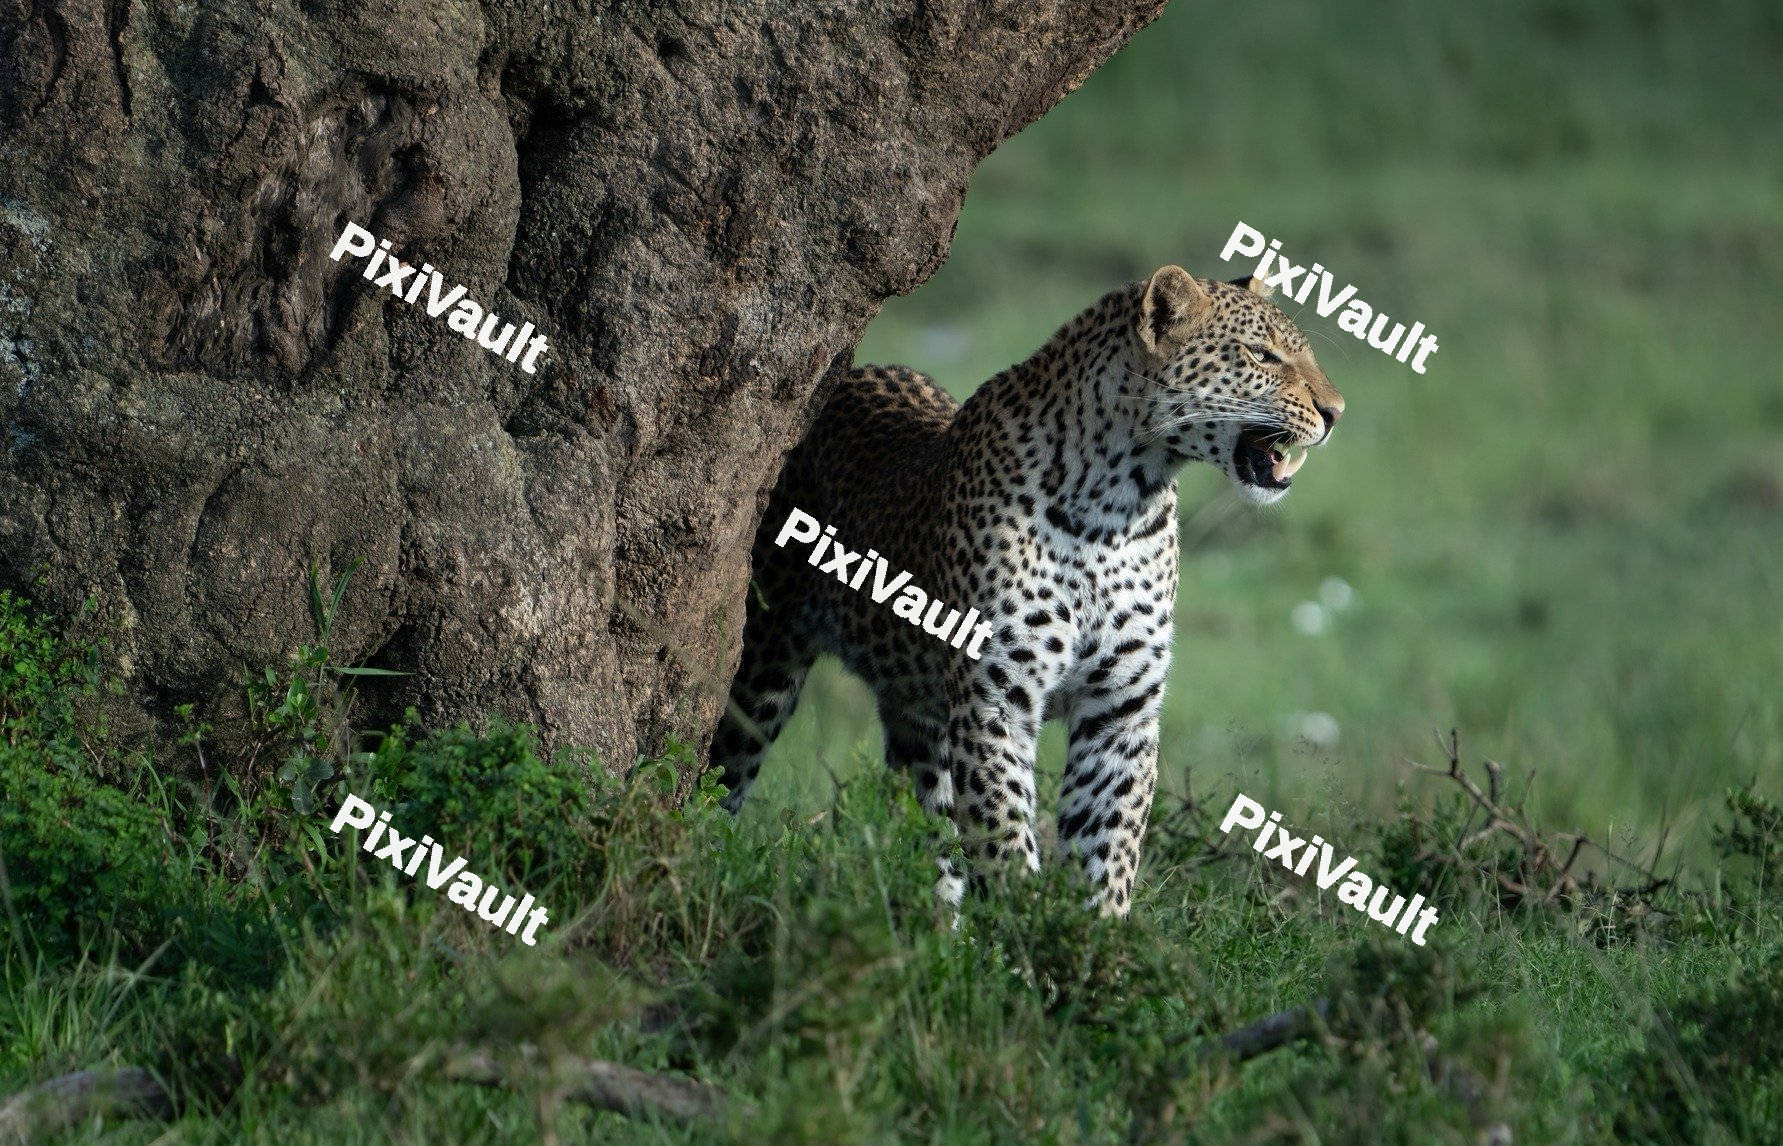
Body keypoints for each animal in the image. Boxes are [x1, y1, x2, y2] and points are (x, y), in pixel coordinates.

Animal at [708, 265, 1344, 916]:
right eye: (1262, 355)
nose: (1336, 412)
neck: (1118, 505)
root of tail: (850, 375)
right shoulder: (997, 699)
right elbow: (1004, 835)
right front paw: (1025, 929)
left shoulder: (1121, 711)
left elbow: (1107, 846)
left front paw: (1095, 938)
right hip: (761, 672)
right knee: (720, 779)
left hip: (921, 717)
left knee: (930, 829)